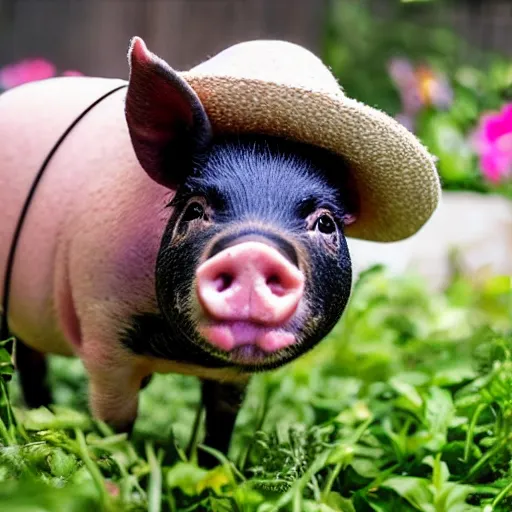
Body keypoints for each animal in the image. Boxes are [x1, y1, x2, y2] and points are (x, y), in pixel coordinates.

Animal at [0, 39, 356, 464]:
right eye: (195, 209)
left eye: (326, 223)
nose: (253, 253)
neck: (179, 355)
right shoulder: (104, 333)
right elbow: (115, 424)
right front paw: (115, 469)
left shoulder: (234, 375)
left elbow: (220, 423)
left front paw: (213, 469)